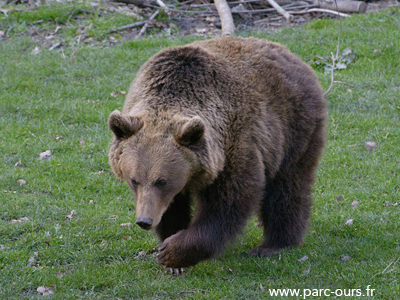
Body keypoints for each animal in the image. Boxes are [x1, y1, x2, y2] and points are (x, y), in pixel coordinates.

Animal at [108, 36, 326, 270]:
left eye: (162, 181)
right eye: (134, 180)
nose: (144, 221)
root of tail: (290, 55)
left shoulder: (233, 144)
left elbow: (230, 200)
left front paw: (173, 251)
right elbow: (173, 207)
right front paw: (171, 246)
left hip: (293, 127)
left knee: (287, 185)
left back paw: (274, 244)